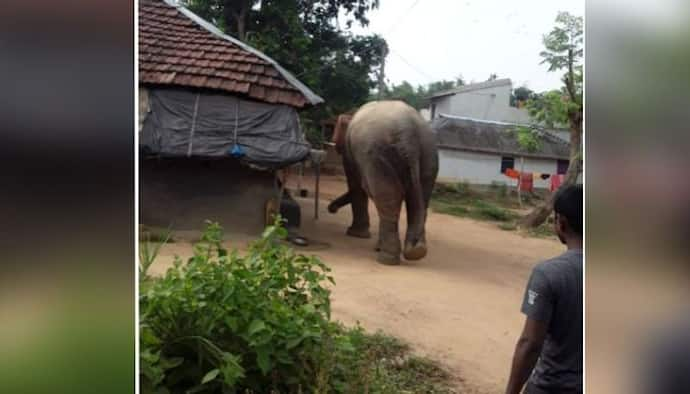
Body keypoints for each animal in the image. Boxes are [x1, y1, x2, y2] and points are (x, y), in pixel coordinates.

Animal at [326, 99, 436, 264]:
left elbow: (357, 186)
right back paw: (416, 252)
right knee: (420, 200)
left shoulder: (350, 151)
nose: (331, 209)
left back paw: (386, 258)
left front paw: (355, 234)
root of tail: (408, 131)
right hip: (428, 155)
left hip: (377, 153)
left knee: (386, 197)